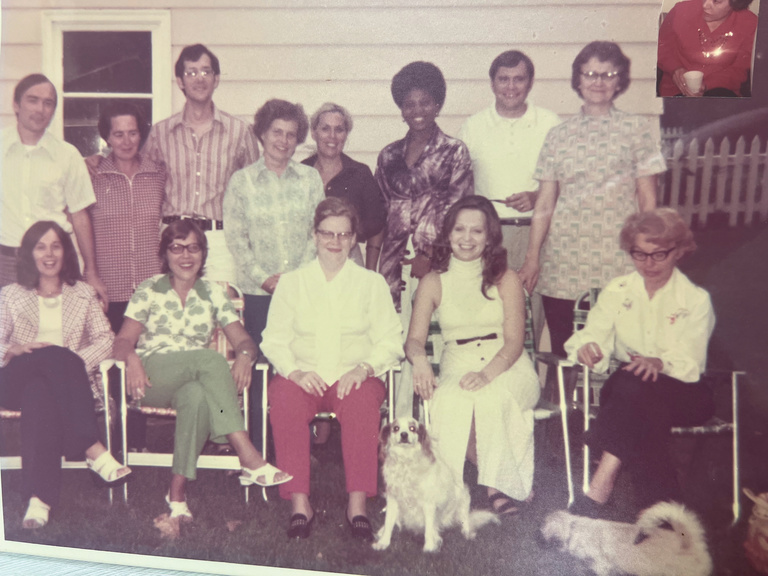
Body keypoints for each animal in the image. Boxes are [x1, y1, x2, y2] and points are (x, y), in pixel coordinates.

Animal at [372, 414, 498, 552]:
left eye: (412, 428)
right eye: (396, 428)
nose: (404, 434)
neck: (406, 462)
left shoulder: (428, 503)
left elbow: (428, 529)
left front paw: (429, 547)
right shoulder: (393, 500)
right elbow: (388, 523)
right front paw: (383, 542)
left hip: (463, 495)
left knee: (465, 520)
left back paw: (467, 533)